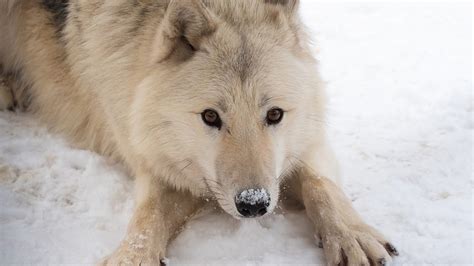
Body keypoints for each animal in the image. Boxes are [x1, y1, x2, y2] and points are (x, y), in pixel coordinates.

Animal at [0, 0, 400, 264]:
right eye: (210, 117)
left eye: (274, 114)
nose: (253, 204)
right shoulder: (155, 160)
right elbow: (148, 217)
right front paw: (132, 256)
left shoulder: (306, 142)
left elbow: (321, 185)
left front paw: (351, 235)